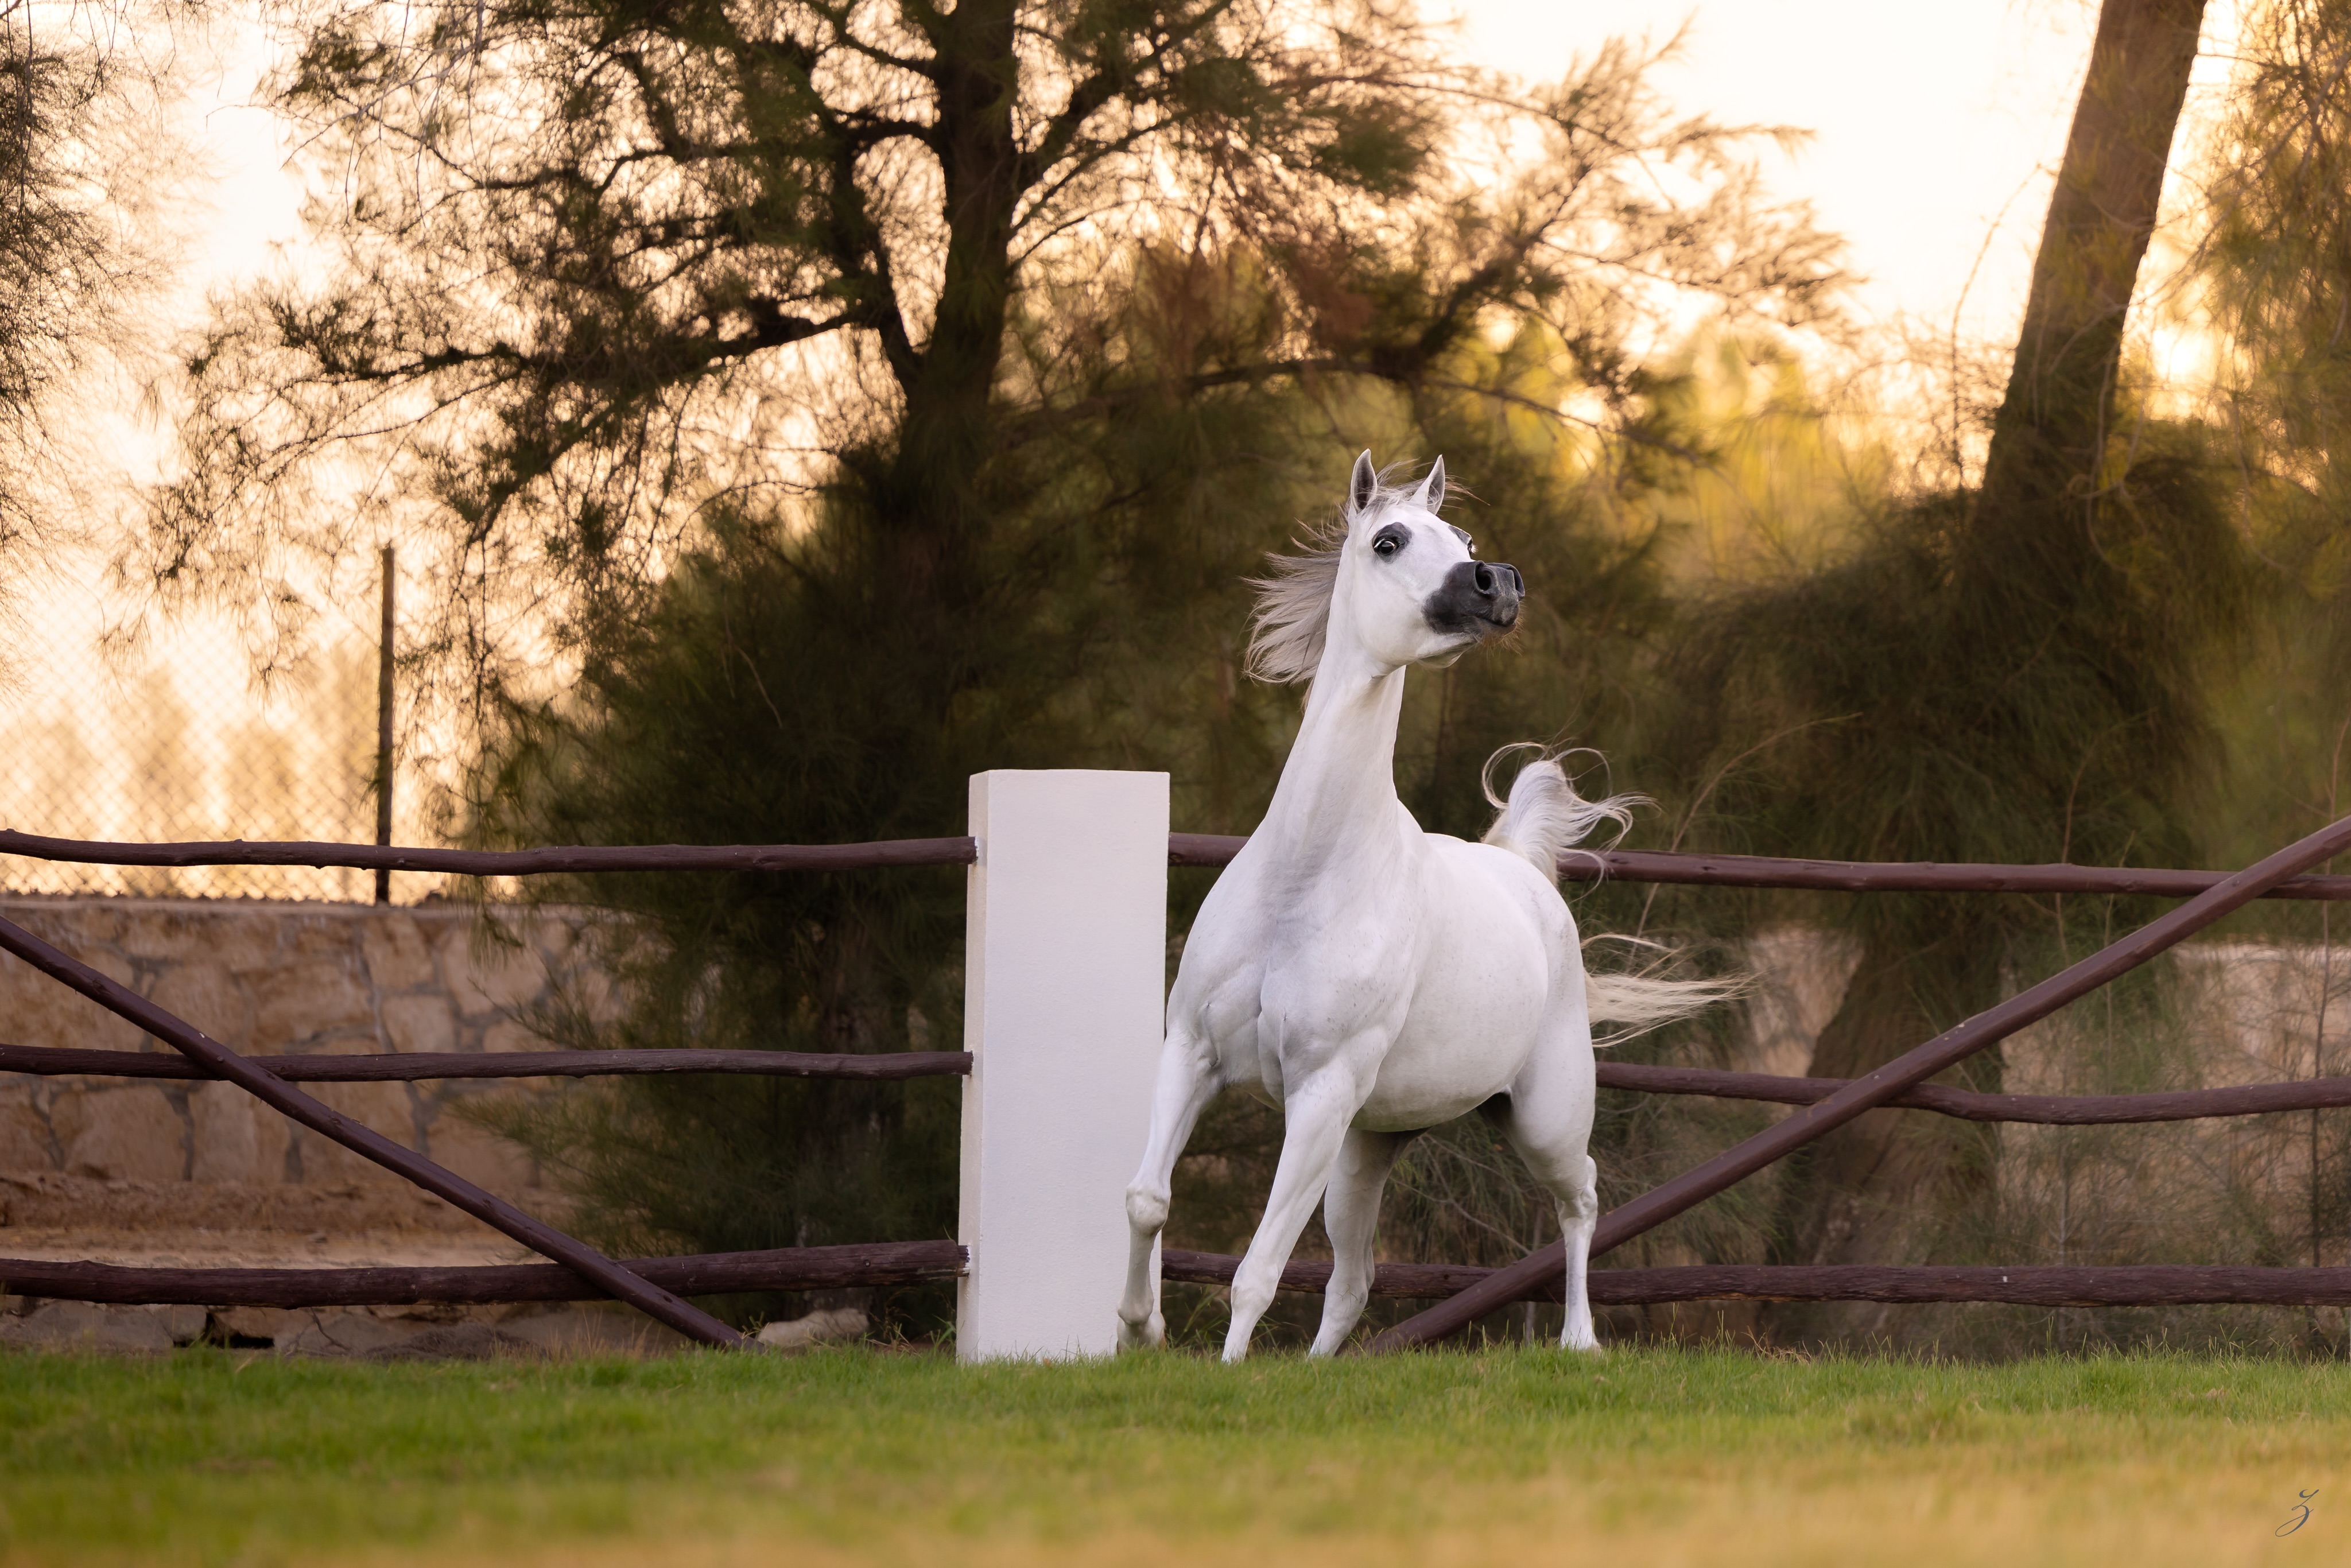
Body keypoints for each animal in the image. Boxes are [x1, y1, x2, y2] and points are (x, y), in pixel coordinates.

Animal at [1116, 451, 1718, 1361]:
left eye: (1463, 539)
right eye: (1390, 539)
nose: (1496, 582)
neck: (1304, 881)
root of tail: (1522, 872)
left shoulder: (1319, 1096)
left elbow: (1256, 1271)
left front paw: (1222, 1371)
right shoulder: (1192, 1051)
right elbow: (1149, 1199)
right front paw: (1138, 1327)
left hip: (1542, 1120)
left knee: (1580, 1200)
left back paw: (1580, 1342)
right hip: (1368, 1146)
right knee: (1354, 1280)